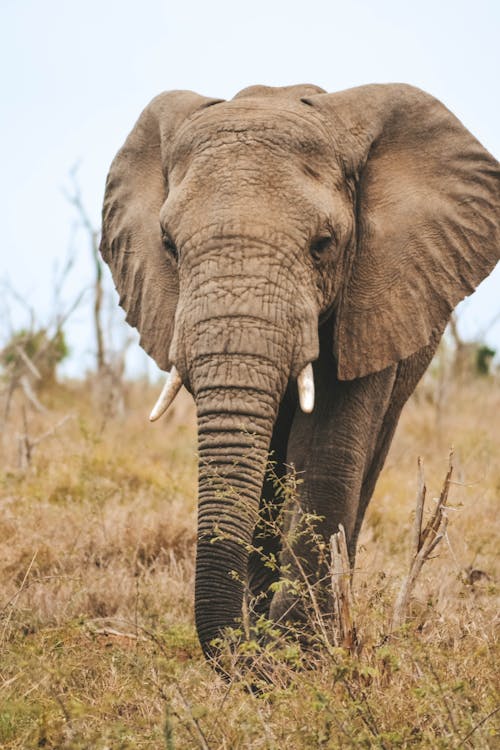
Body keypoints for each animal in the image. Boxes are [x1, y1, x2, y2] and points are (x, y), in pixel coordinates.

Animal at [98, 81, 500, 656]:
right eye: (169, 246)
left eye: (322, 245)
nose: (246, 653)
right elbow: (260, 456)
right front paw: (276, 646)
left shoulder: (374, 291)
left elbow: (327, 444)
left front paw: (298, 651)